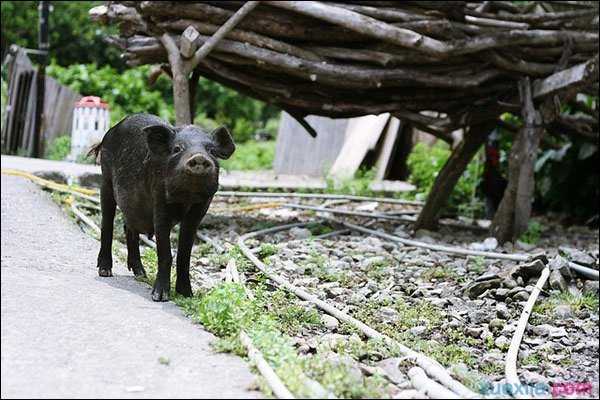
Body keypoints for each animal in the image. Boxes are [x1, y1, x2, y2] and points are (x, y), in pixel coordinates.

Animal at [90, 112, 236, 300]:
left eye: (212, 151)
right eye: (177, 149)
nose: (199, 157)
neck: (186, 198)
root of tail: (109, 133)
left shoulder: (200, 209)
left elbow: (184, 254)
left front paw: (187, 295)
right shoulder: (160, 203)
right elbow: (165, 253)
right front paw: (159, 297)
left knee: (129, 227)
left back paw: (141, 274)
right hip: (105, 181)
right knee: (107, 223)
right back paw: (105, 272)